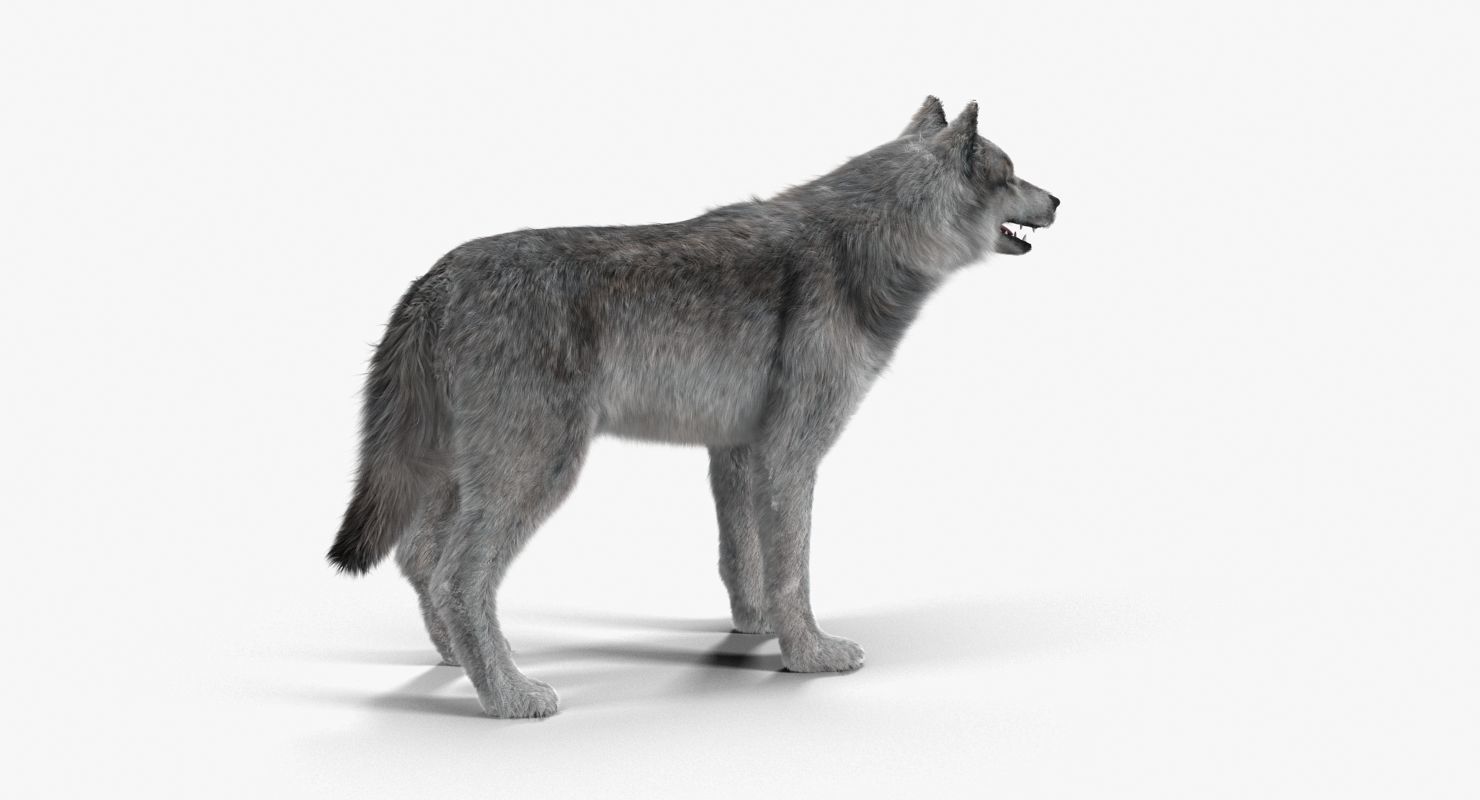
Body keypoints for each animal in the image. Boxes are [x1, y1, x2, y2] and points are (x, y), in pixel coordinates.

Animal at [328, 97, 1060, 718]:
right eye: (1012, 174)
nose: (1058, 198)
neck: (864, 247)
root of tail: (437, 276)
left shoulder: (738, 452)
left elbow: (745, 558)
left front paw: (757, 630)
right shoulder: (790, 455)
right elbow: (794, 569)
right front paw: (811, 655)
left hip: (463, 475)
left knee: (419, 558)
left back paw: (457, 660)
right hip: (535, 472)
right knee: (456, 577)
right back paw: (509, 696)